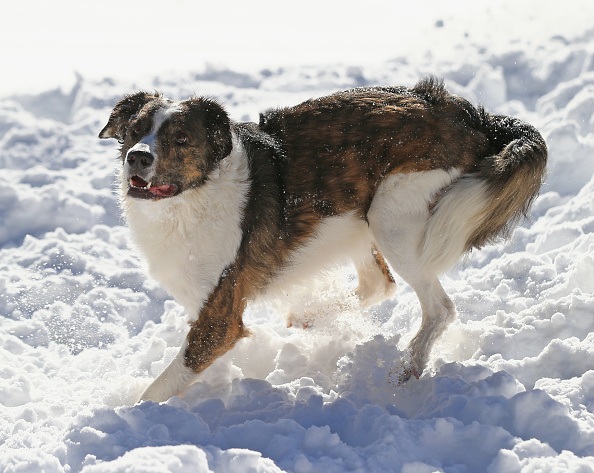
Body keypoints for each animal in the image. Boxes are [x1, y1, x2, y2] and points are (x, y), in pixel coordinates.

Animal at [98, 78, 544, 402]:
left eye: (182, 140)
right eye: (136, 130)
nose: (137, 157)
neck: (191, 197)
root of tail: (467, 114)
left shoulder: (219, 321)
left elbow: (156, 389)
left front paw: (125, 421)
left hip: (393, 217)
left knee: (439, 308)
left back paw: (409, 365)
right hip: (360, 219)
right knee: (379, 283)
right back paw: (312, 315)